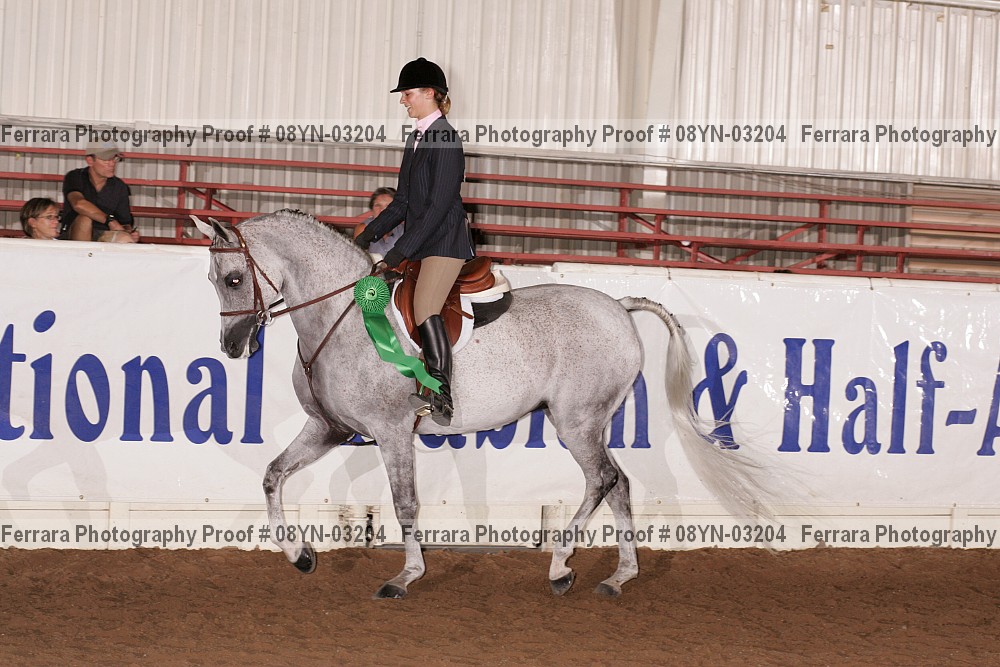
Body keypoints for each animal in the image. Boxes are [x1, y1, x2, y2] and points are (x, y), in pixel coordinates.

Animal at [193, 209, 770, 599]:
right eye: (214, 281)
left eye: (235, 278)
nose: (232, 346)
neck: (344, 318)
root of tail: (618, 307)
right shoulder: (328, 428)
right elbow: (272, 475)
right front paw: (300, 556)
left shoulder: (391, 430)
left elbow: (405, 503)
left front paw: (405, 576)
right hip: (588, 422)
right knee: (620, 484)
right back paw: (618, 577)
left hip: (577, 422)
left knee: (603, 479)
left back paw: (561, 567)